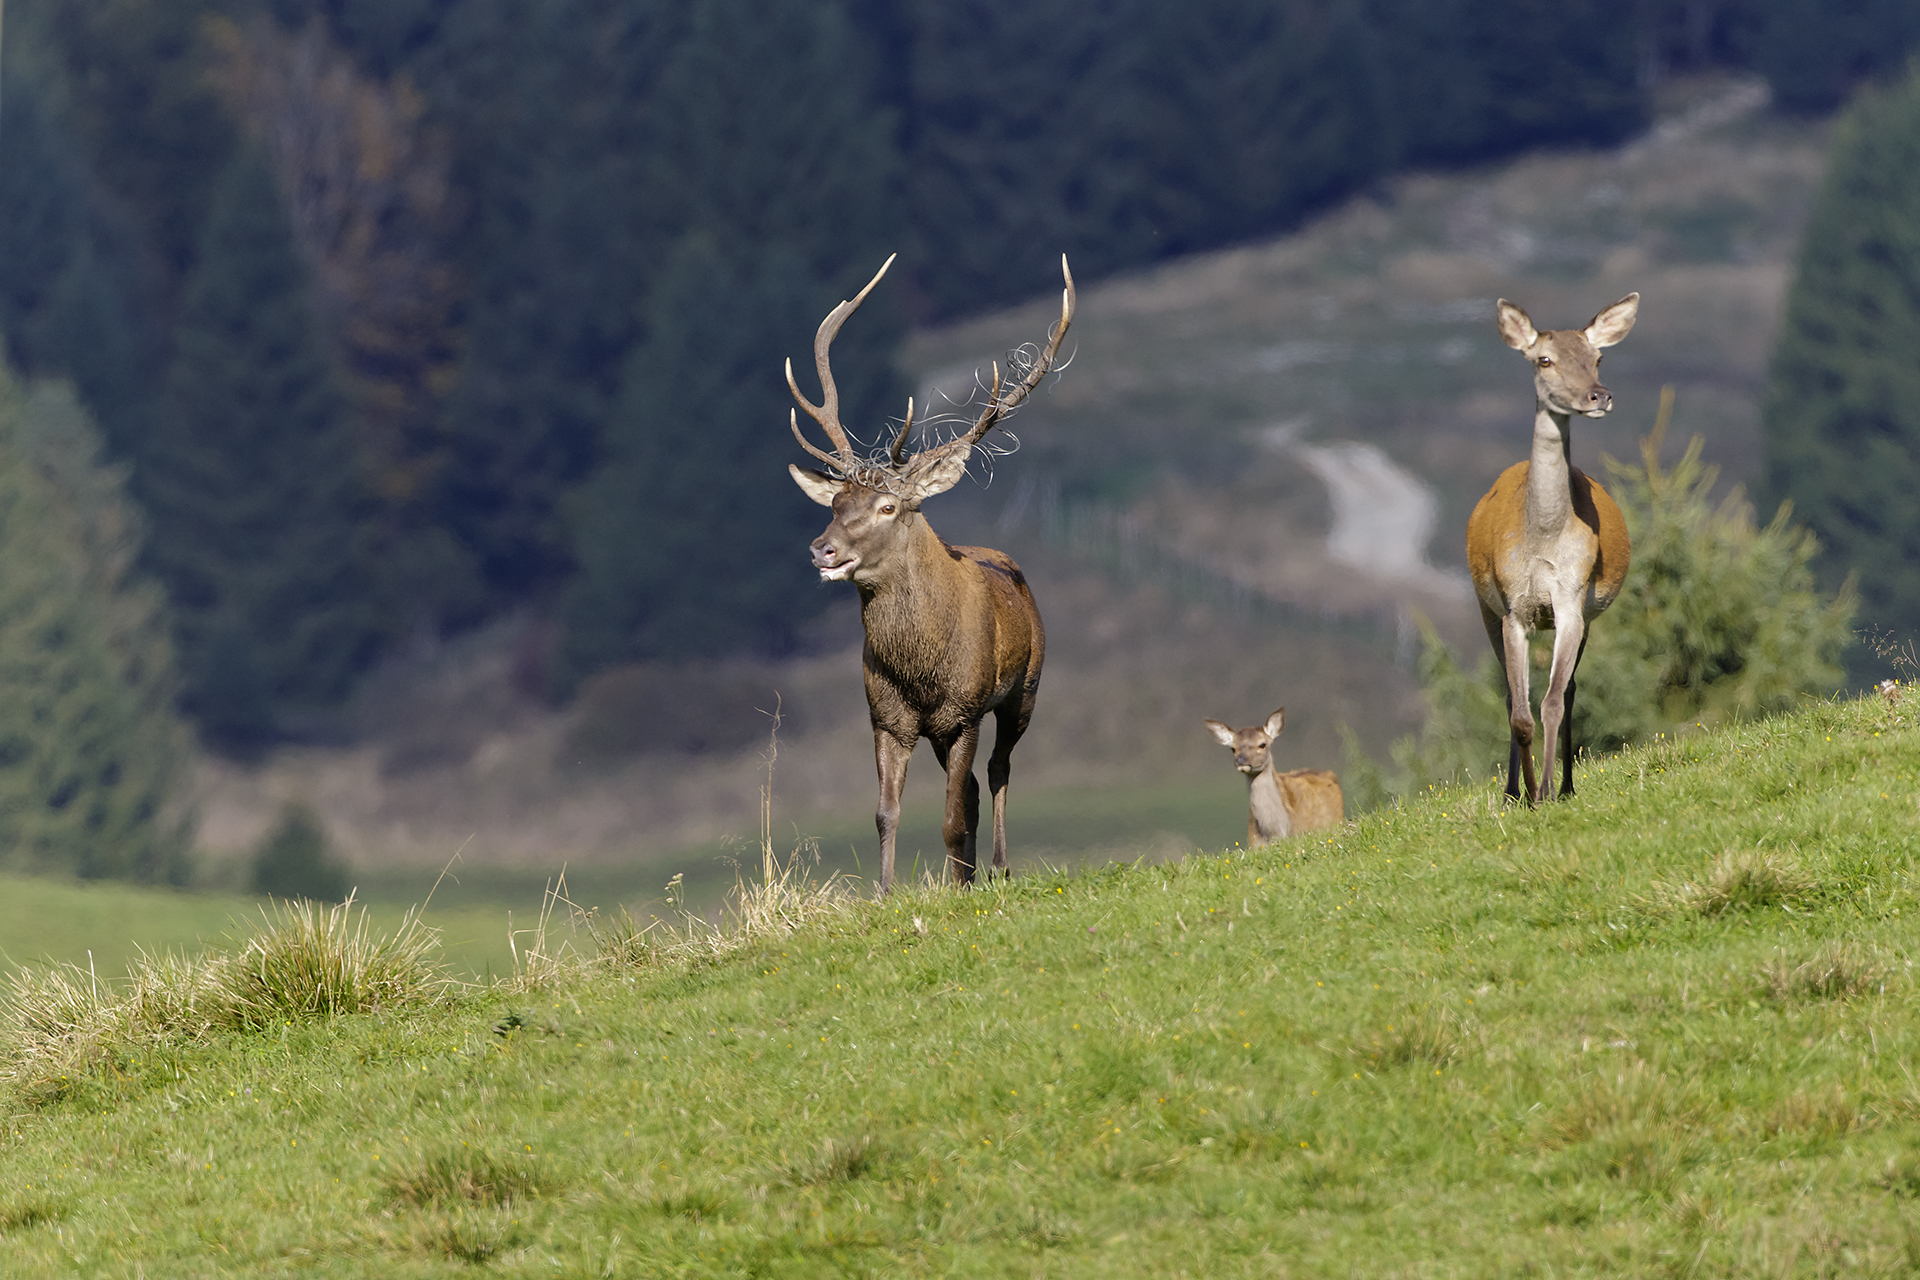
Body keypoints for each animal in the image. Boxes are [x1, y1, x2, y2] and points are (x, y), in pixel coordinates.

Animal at [787, 254, 1074, 892]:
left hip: (1026, 688)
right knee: (970, 789)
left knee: (997, 770)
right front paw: (885, 892)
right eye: (835, 502)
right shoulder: (886, 717)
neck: (920, 672)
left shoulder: (964, 711)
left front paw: (958, 885)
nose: (822, 551)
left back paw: (997, 867)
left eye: (888, 507)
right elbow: (886, 813)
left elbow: (950, 814)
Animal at [1466, 292, 1638, 805]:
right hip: (1484, 607)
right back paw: (1510, 791)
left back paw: (1565, 785)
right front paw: (1524, 790)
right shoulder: (1512, 609)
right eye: (1544, 359)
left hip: (1587, 618)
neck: (1541, 539)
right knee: (1509, 696)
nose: (1598, 395)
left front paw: (1544, 789)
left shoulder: (1571, 600)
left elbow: (1553, 701)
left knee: (1572, 688)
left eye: (1597, 357)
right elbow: (1520, 712)